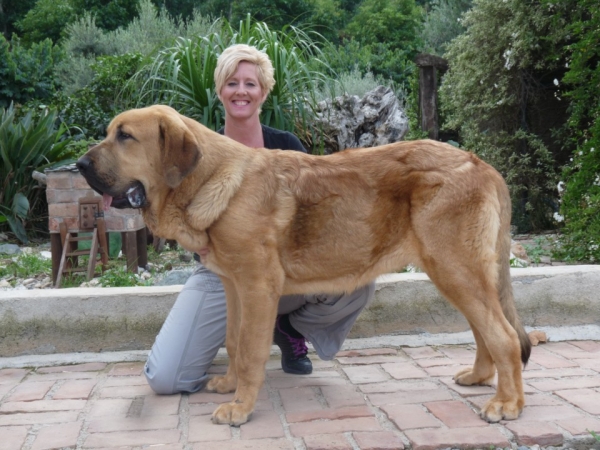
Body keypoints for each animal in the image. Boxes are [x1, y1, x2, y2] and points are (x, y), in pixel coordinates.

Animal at [78, 104, 528, 426]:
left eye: (125, 137)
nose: (78, 166)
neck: (208, 179)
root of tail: (482, 164)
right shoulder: (234, 287)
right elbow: (234, 341)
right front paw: (230, 386)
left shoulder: (257, 286)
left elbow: (251, 350)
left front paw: (241, 409)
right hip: (460, 274)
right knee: (486, 332)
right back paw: (480, 378)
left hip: (454, 269)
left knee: (504, 337)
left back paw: (506, 404)